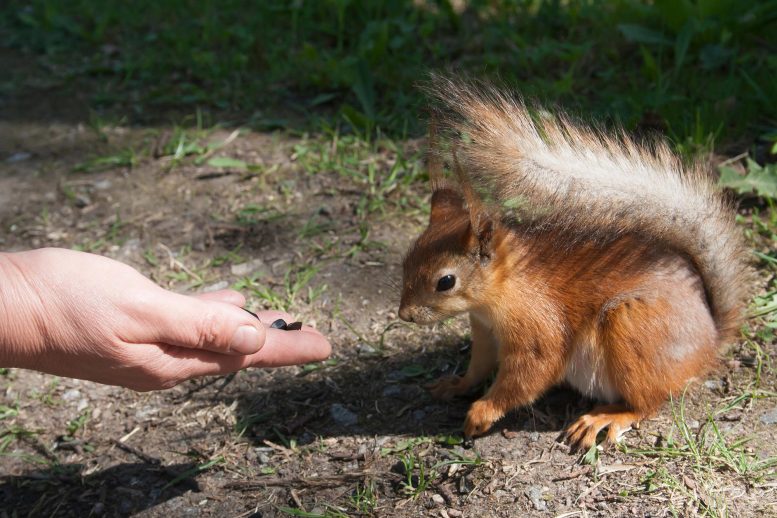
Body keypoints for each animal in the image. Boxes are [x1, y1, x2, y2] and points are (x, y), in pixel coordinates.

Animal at [398, 76, 750, 451]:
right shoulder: (485, 333)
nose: (404, 315)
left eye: (445, 281)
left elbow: (529, 375)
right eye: (406, 259)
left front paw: (483, 412)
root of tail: (710, 340)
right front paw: (457, 385)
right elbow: (479, 367)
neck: (501, 292)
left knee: (647, 403)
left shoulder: (538, 327)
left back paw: (604, 418)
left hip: (633, 328)